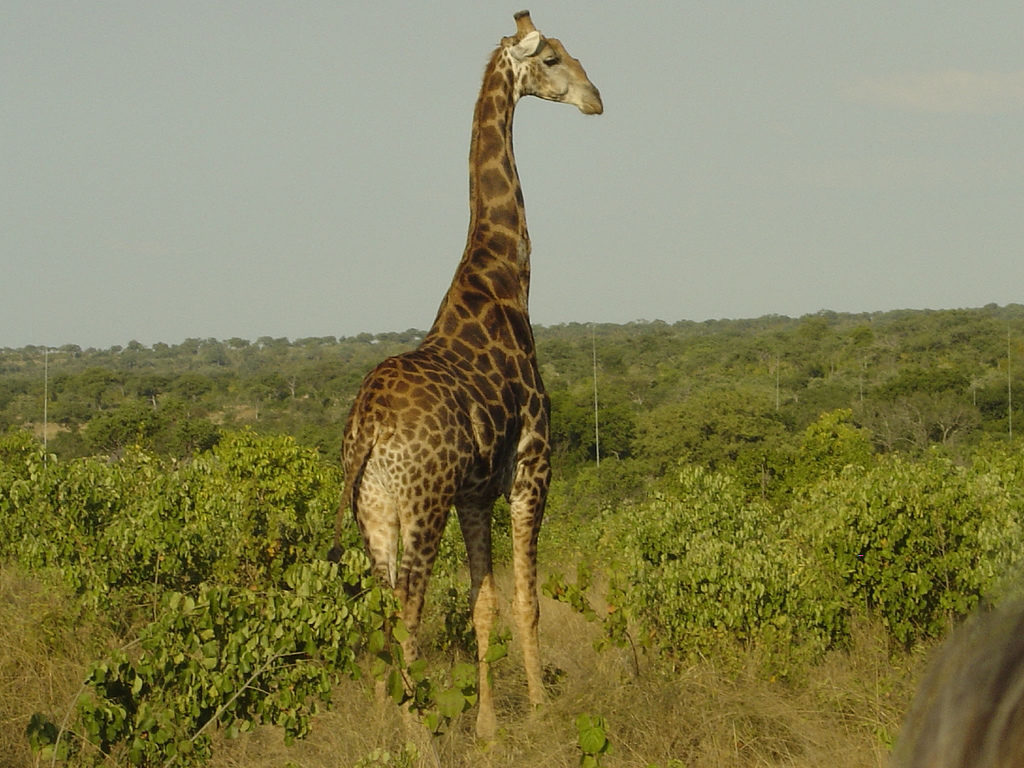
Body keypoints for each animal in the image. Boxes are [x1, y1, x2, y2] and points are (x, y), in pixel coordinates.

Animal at [335, 10, 602, 741]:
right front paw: (539, 710)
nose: (596, 99)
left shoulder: (474, 494)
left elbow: (484, 606)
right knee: (408, 617)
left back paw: (382, 733)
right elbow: (527, 600)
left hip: (374, 513)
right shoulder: (533, 465)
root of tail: (366, 431)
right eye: (554, 58)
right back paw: (416, 737)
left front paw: (487, 726)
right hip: (418, 507)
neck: (504, 279)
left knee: (382, 615)